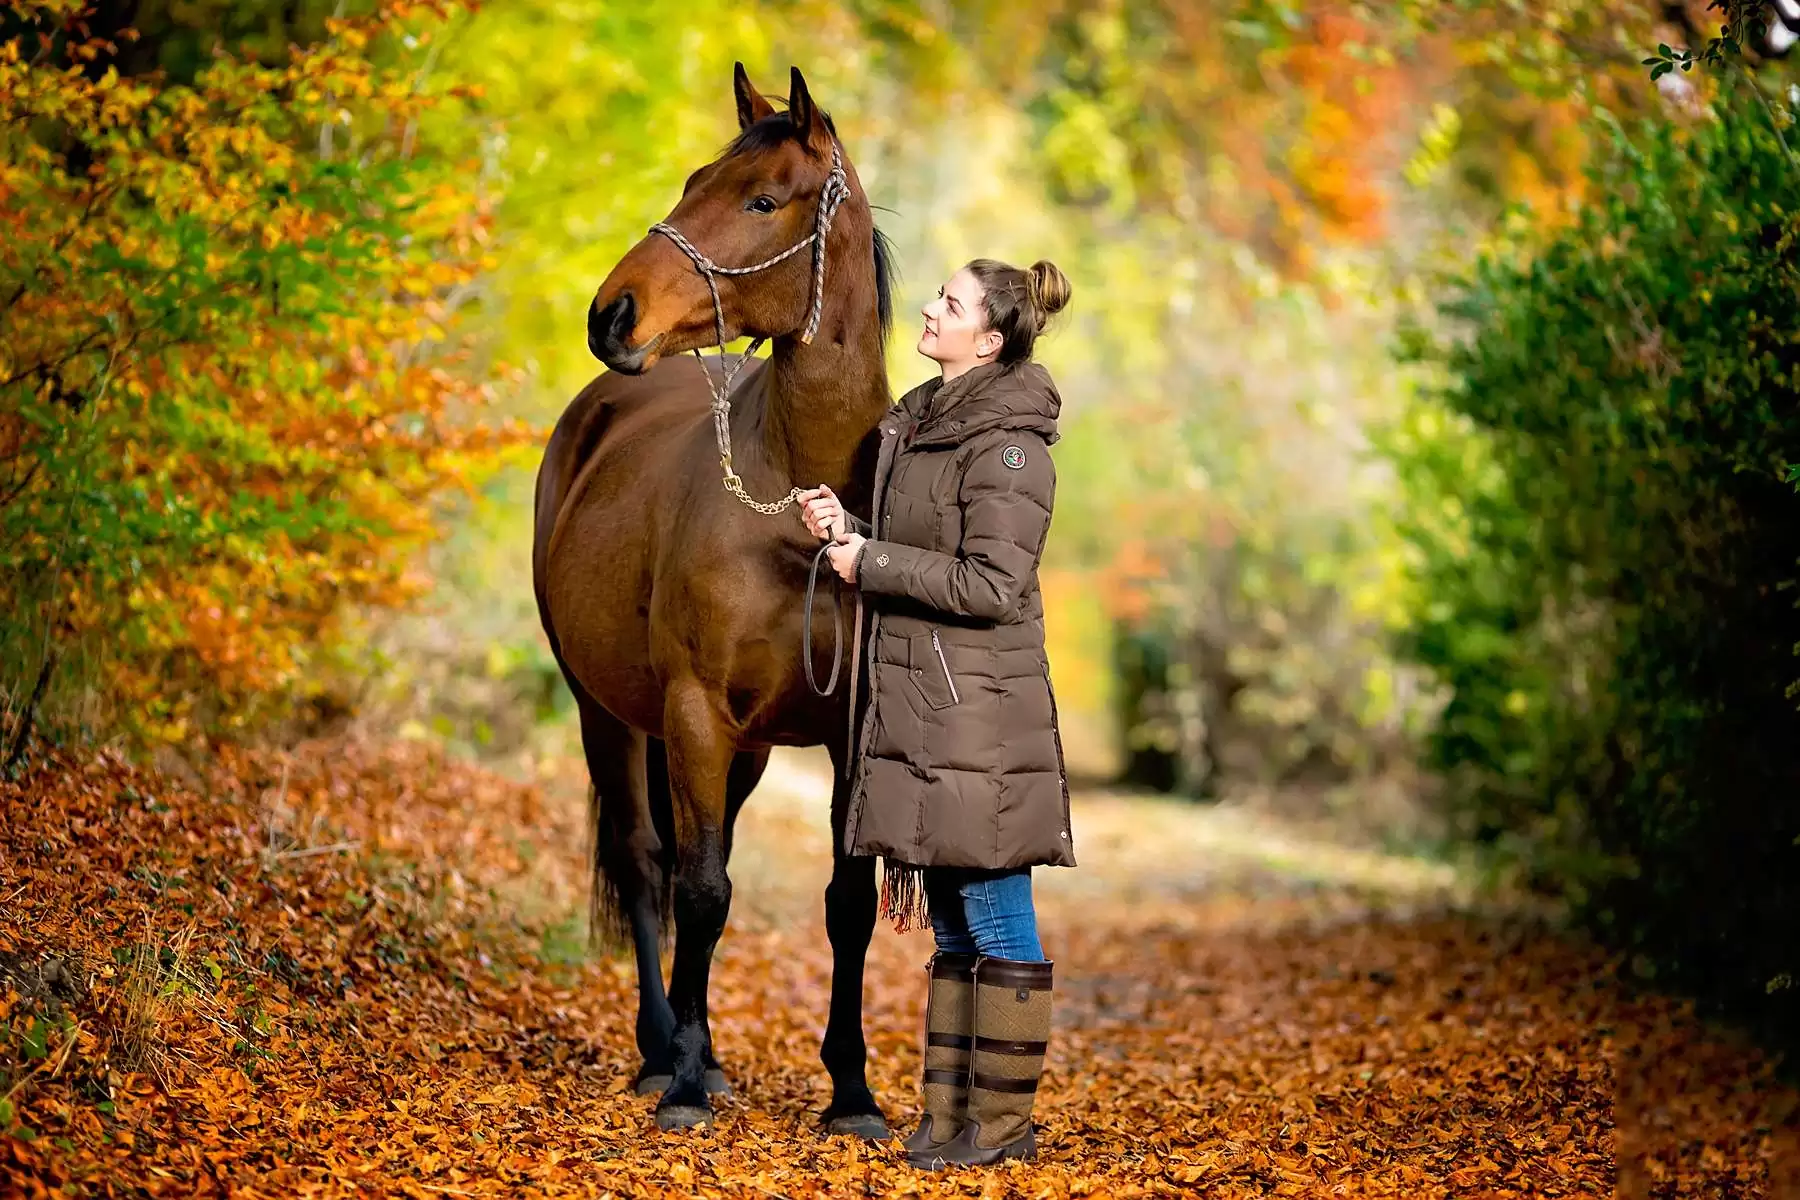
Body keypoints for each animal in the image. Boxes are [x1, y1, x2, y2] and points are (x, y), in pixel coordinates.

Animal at [531, 64, 896, 1136]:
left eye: (762, 201)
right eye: (695, 180)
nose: (612, 314)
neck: (802, 511)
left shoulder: (847, 734)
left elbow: (845, 903)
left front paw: (852, 1093)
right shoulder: (693, 714)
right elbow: (697, 890)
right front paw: (686, 1083)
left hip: (746, 750)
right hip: (606, 714)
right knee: (649, 860)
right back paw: (666, 1048)